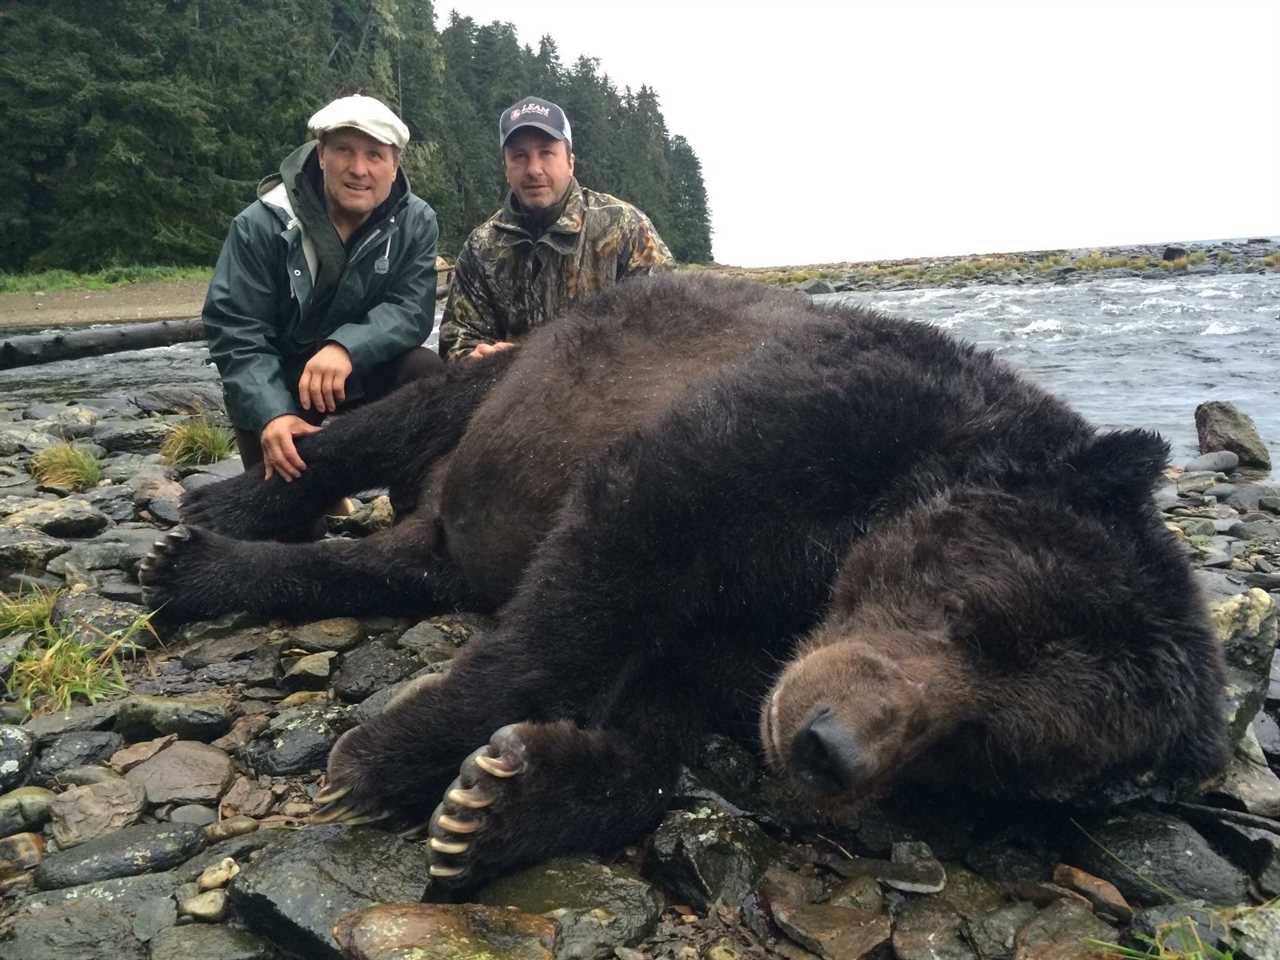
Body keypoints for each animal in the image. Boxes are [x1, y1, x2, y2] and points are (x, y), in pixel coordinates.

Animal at [142, 272, 1228, 896]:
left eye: (991, 747)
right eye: (975, 613)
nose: (827, 745)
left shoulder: (744, 655)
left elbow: (656, 729)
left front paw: (494, 803)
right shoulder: (806, 418)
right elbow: (605, 572)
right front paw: (388, 757)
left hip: (448, 530)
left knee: (395, 565)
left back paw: (209, 569)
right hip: (508, 379)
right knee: (374, 431)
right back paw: (210, 518)